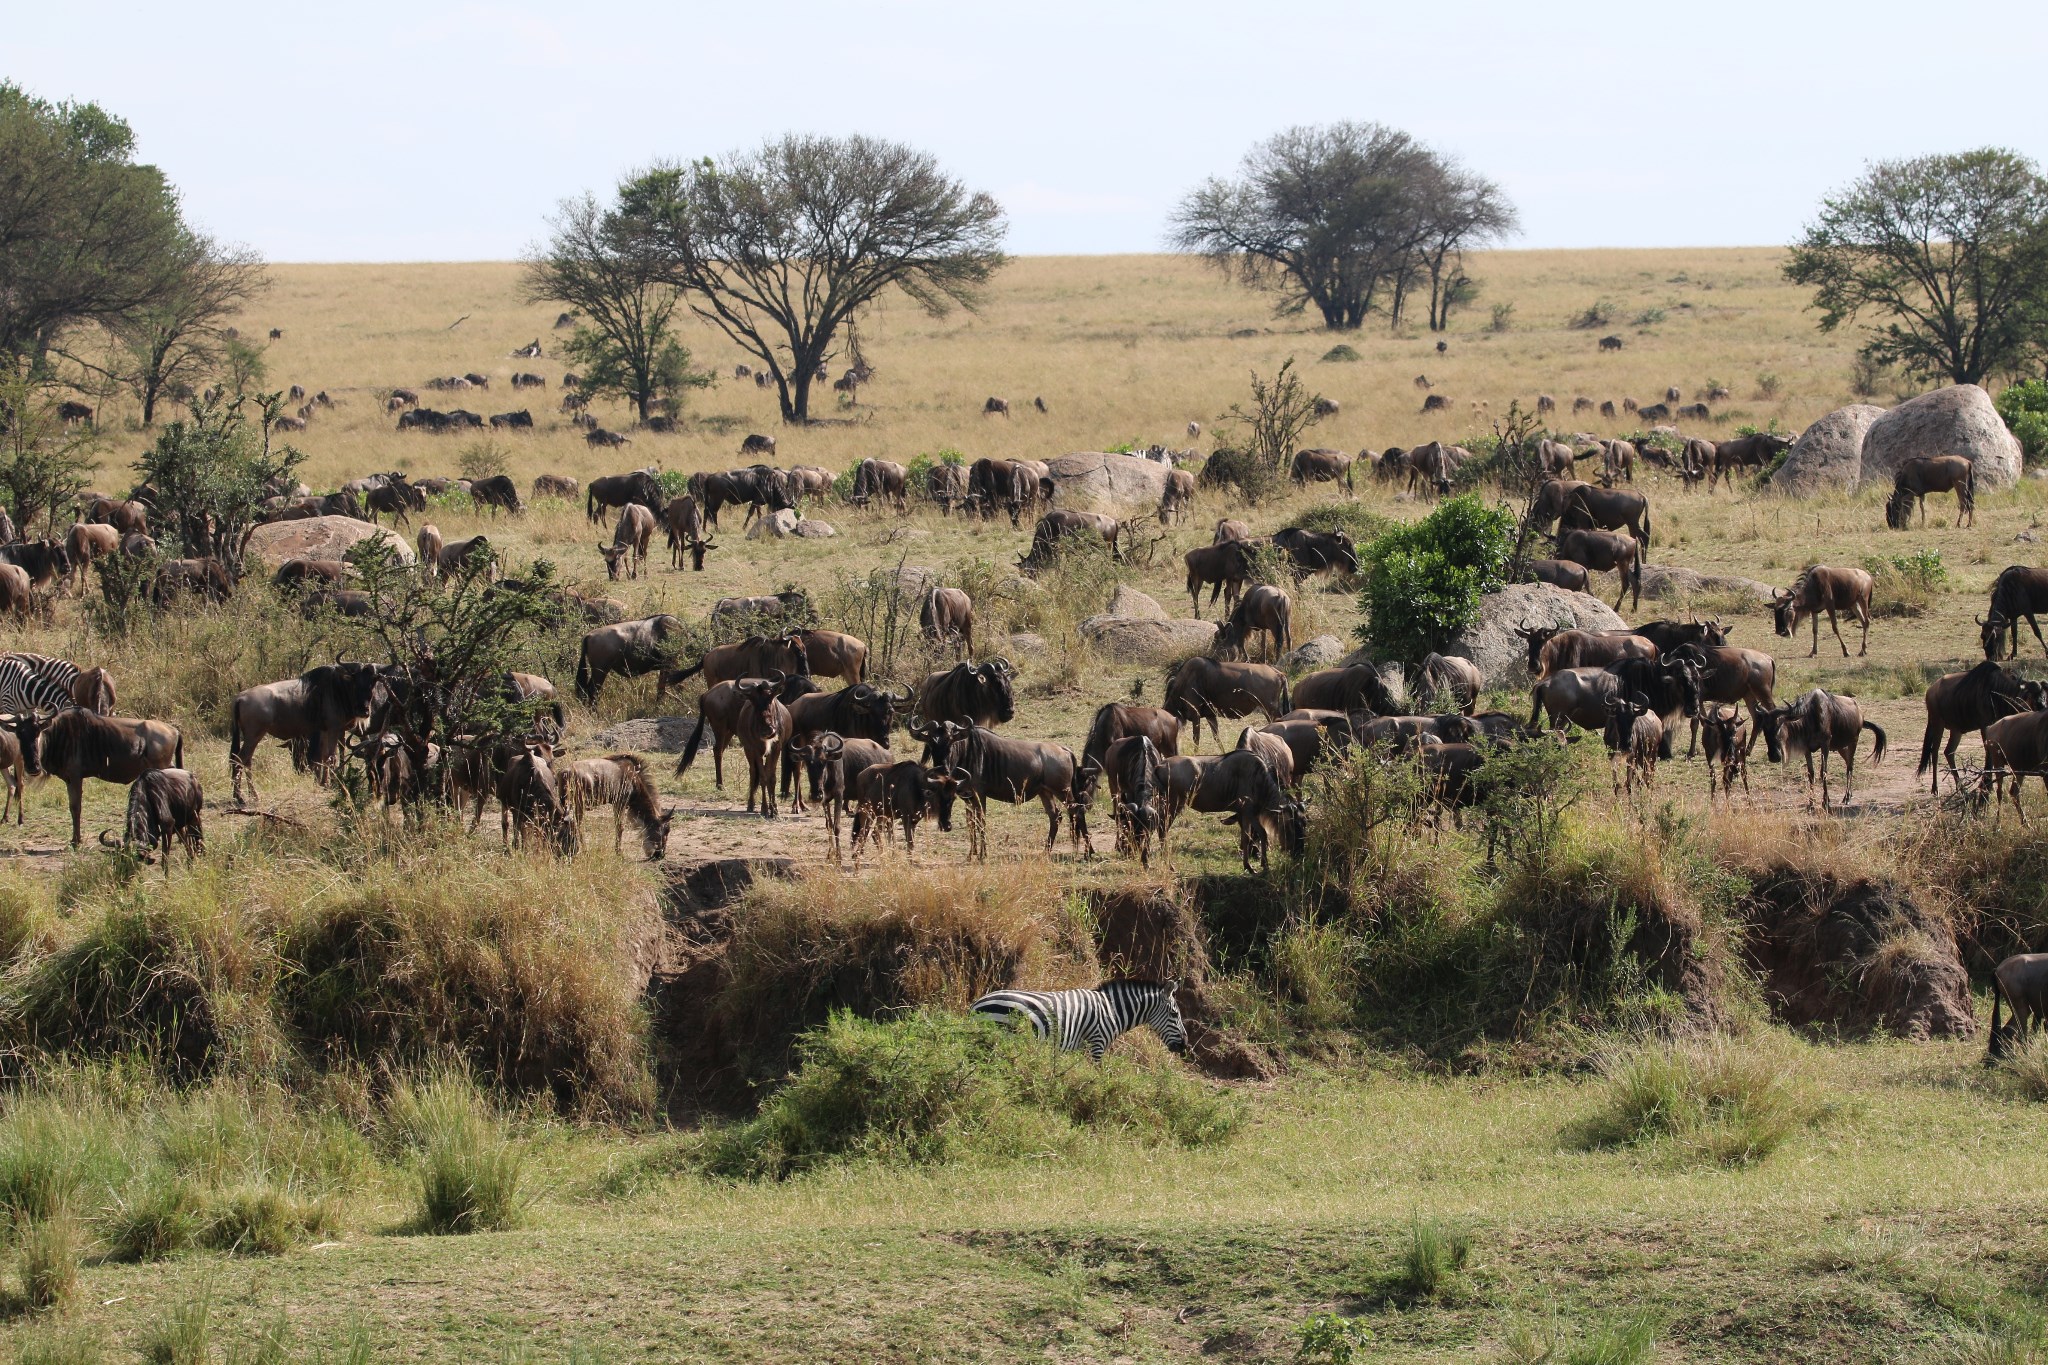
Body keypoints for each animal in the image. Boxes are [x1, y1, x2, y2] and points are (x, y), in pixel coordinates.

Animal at [970, 978, 1187, 1064]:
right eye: (1174, 1015)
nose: (1185, 1045)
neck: (1112, 1010)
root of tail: (975, 1005)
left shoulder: (1081, 1048)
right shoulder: (1097, 1044)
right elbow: (1097, 1074)